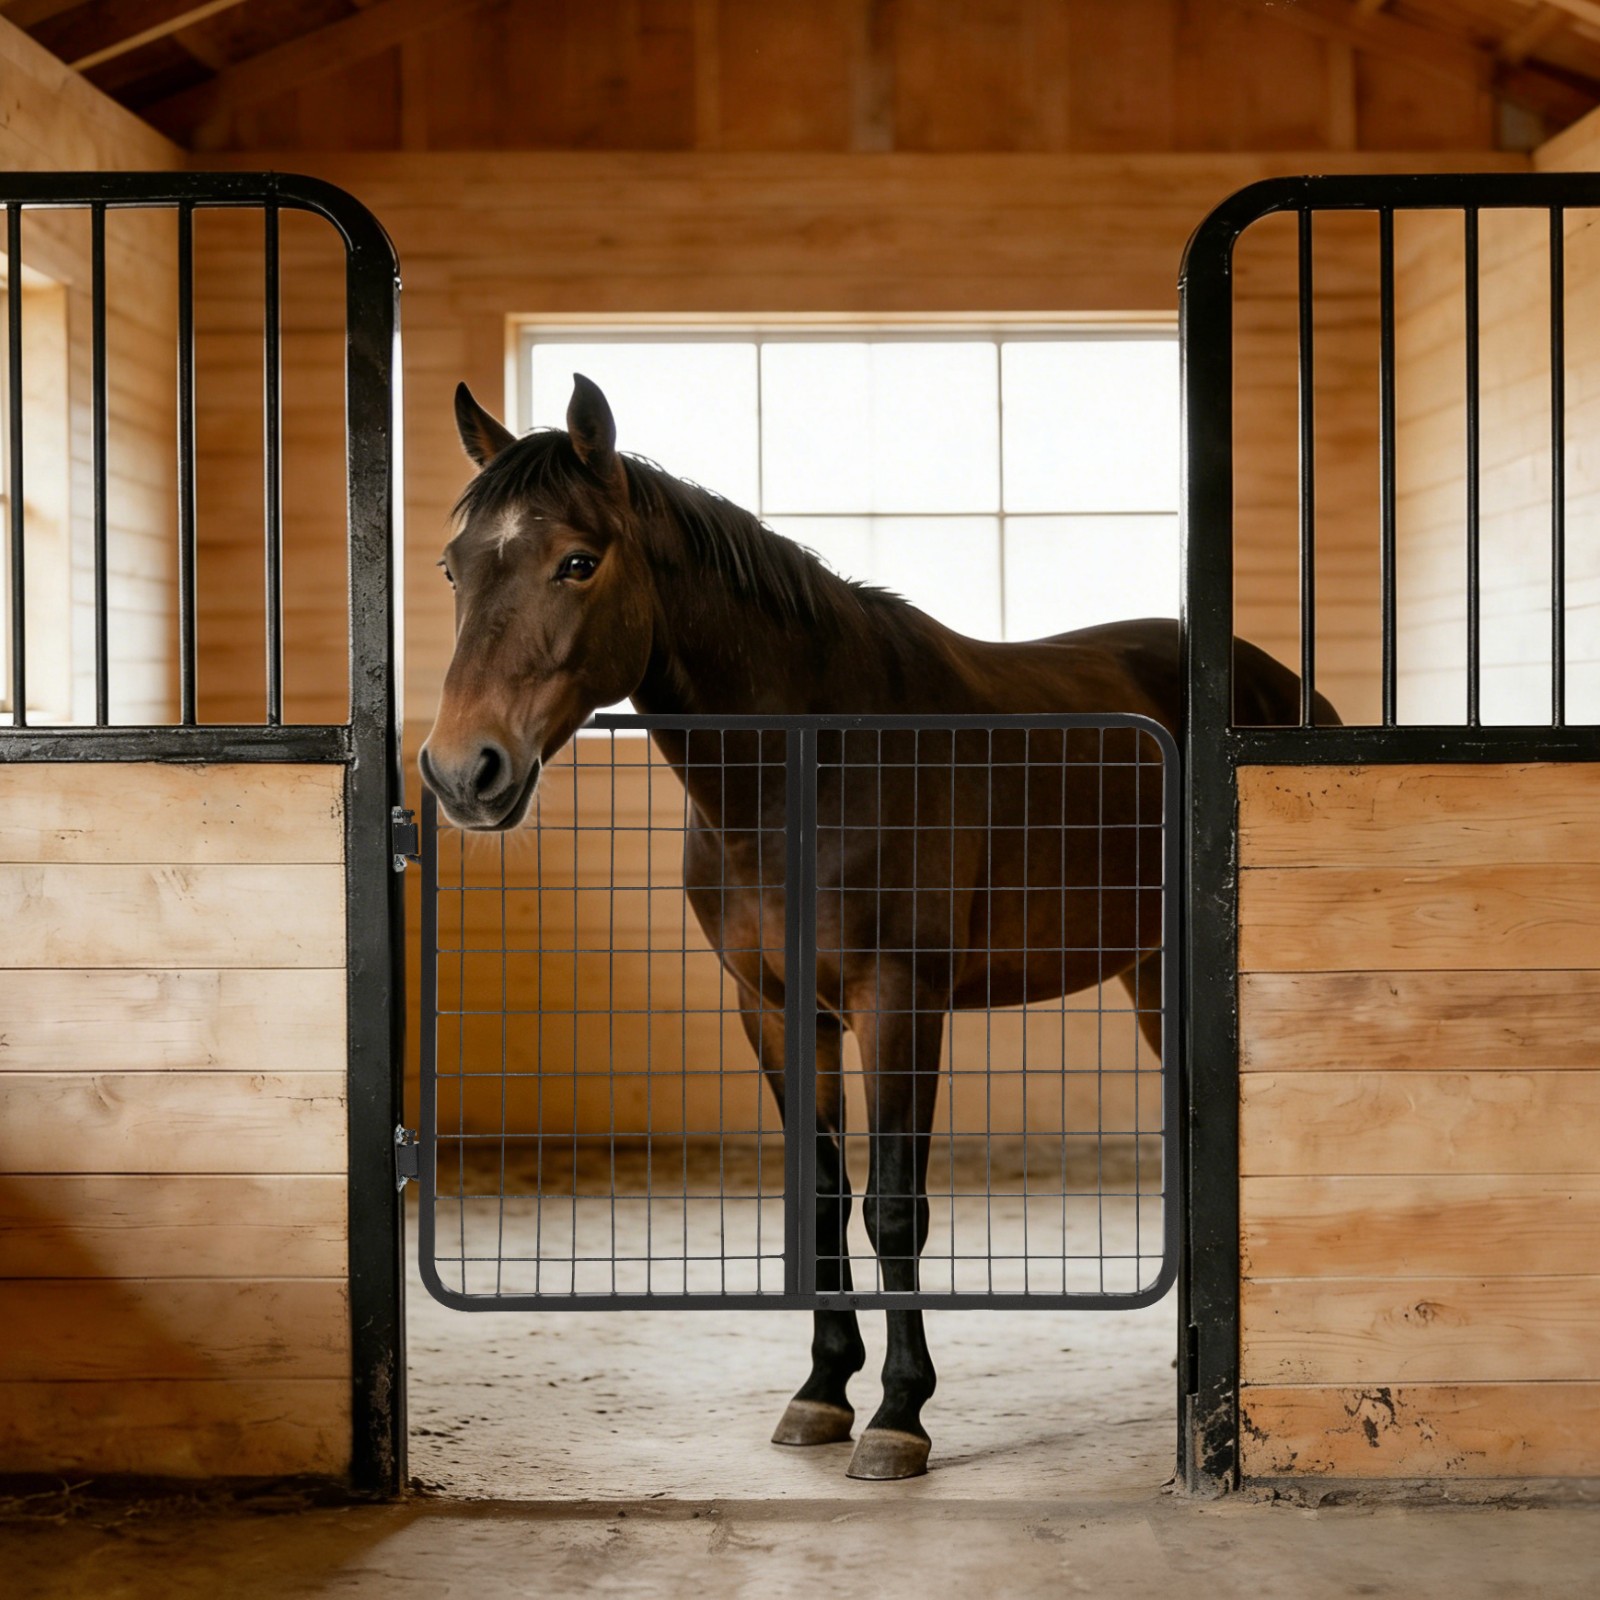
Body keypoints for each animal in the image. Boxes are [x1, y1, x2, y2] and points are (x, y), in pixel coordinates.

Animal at [420, 373, 1337, 1481]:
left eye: (578, 561)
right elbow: (819, 1197)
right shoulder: (778, 1009)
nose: (464, 770)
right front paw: (821, 1392)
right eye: (454, 565)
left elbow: (894, 1203)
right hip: (1154, 974)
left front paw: (900, 1413)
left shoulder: (898, 1001)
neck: (811, 764)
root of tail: (1283, 684)